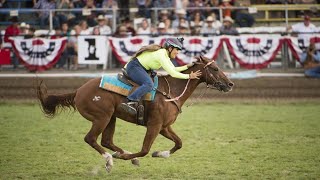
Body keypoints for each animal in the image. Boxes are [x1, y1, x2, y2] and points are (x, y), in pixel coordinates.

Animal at [36, 55, 234, 172]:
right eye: (215, 69)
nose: (230, 84)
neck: (171, 91)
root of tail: (78, 91)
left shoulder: (164, 127)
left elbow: (179, 143)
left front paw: (160, 154)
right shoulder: (154, 125)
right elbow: (145, 150)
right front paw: (128, 157)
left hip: (111, 118)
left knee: (106, 141)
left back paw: (120, 155)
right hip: (101, 117)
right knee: (91, 139)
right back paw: (110, 160)